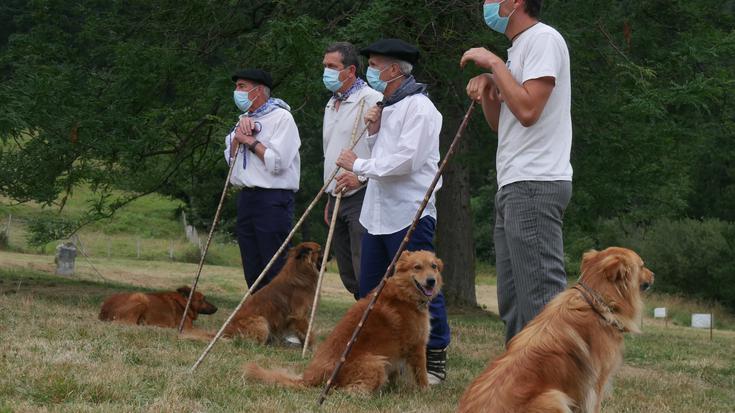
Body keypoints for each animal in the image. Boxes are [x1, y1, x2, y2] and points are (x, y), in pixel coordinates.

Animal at [246, 249, 442, 392]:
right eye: (417, 267)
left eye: (434, 266)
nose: (431, 281)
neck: (404, 292)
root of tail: (310, 378)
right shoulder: (418, 346)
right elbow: (421, 373)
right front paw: (425, 391)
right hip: (376, 363)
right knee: (349, 390)